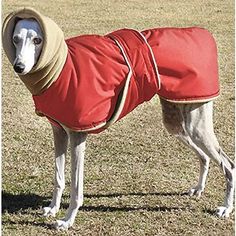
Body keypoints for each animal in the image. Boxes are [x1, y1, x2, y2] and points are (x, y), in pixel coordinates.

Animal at [2, 11, 235, 230]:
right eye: (15, 39)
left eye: (37, 40)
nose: (19, 67)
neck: (60, 67)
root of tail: (202, 33)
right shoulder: (59, 131)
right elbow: (58, 178)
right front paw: (53, 208)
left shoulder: (77, 135)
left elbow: (76, 188)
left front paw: (67, 220)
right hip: (176, 121)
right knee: (204, 157)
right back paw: (199, 188)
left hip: (196, 124)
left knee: (229, 165)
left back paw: (226, 208)